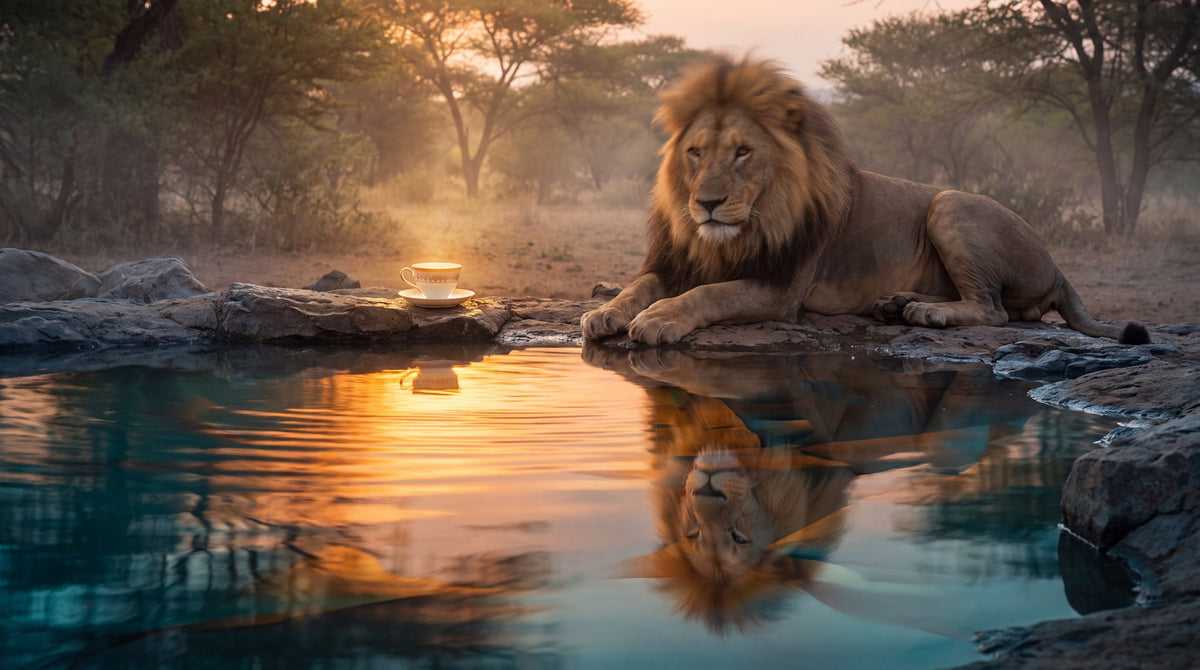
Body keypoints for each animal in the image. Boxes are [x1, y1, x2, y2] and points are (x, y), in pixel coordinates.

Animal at [581, 56, 1149, 346]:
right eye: (695, 153)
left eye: (743, 152)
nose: (706, 204)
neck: (738, 231)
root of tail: (1057, 267)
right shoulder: (677, 260)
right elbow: (640, 284)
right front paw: (605, 312)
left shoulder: (780, 290)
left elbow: (708, 295)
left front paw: (658, 319)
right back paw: (896, 304)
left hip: (950, 204)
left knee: (996, 311)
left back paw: (924, 314)